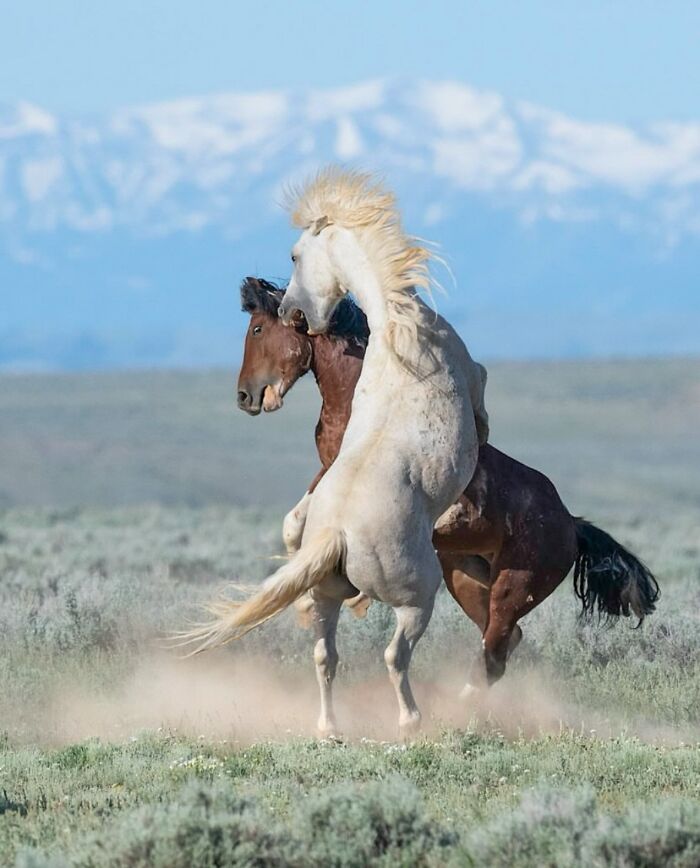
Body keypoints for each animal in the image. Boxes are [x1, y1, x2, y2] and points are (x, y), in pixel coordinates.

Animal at [183, 168, 489, 738]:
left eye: (294, 256)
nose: (293, 310)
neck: (395, 322)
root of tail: (335, 535)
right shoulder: (475, 377)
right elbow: (482, 420)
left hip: (327, 596)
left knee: (325, 655)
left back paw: (329, 728)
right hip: (418, 596)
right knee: (395, 655)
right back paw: (410, 721)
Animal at [237, 276, 660, 699]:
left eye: (257, 329)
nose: (245, 396)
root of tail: (571, 524)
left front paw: (343, 597)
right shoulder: (326, 476)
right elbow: (294, 522)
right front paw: (311, 597)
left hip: (514, 586)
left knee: (494, 650)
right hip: (466, 577)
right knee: (503, 642)